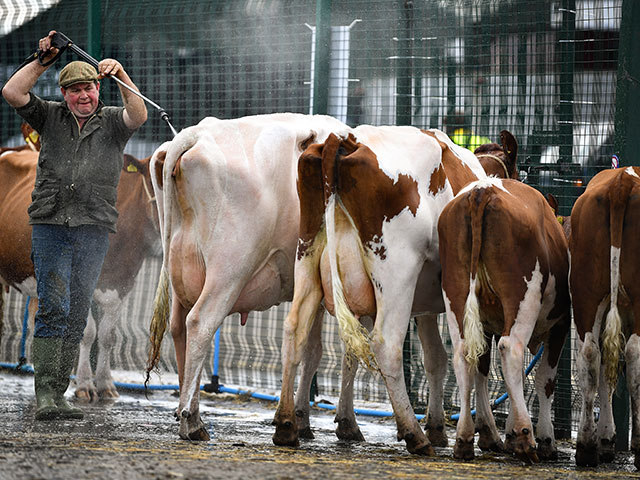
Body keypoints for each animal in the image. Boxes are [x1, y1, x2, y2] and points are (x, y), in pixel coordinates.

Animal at [145, 113, 350, 442]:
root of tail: (196, 133)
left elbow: (312, 350)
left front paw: (302, 419)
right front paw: (344, 422)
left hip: (180, 270)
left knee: (179, 328)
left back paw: (186, 412)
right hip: (230, 269)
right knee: (200, 323)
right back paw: (192, 422)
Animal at [272, 126, 488, 454]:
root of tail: (345, 139)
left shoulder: (425, 304)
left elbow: (435, 358)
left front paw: (438, 427)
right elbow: (474, 358)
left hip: (307, 256)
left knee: (296, 329)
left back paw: (286, 426)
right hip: (397, 273)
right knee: (386, 345)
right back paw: (414, 435)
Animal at [438, 174, 572, 464]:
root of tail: (482, 190)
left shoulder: (489, 324)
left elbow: (495, 372)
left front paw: (502, 433)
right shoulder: (561, 323)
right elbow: (544, 380)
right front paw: (545, 440)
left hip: (456, 293)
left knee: (464, 354)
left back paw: (465, 439)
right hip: (523, 296)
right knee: (511, 350)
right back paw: (525, 437)